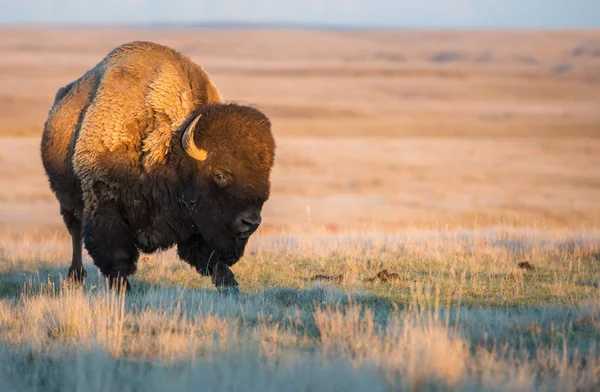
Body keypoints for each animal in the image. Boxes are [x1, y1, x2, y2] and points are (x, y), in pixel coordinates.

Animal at [41, 41, 276, 292]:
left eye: (265, 177)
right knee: (75, 231)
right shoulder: (105, 203)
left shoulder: (195, 223)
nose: (250, 222)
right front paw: (122, 289)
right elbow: (116, 255)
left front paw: (230, 285)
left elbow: (211, 259)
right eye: (219, 174)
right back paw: (75, 277)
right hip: (66, 198)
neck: (168, 149)